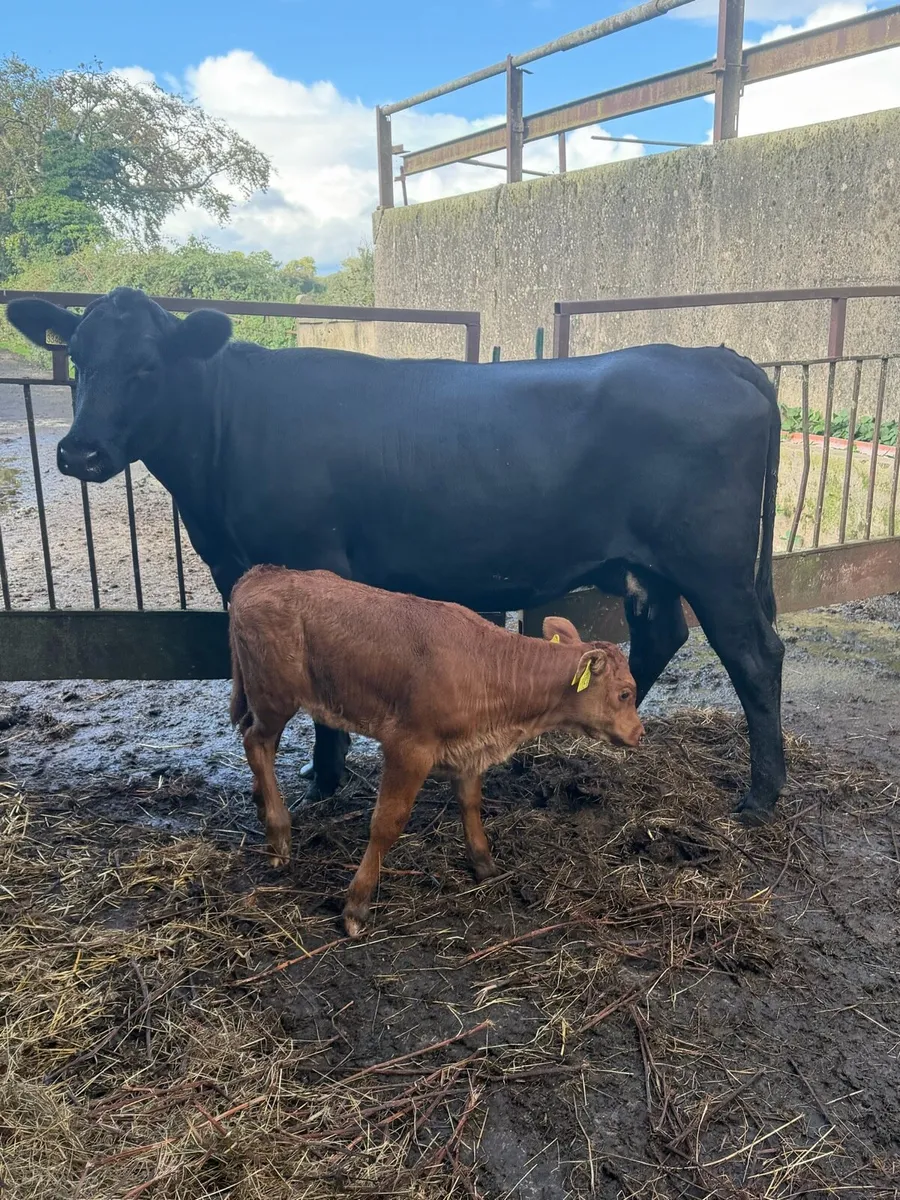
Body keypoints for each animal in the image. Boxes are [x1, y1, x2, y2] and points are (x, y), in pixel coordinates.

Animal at [6, 287, 785, 823]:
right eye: (77, 360)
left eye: (146, 366)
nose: (80, 451)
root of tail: (712, 357)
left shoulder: (313, 560)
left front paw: (323, 780)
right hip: (652, 565)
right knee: (661, 633)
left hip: (713, 564)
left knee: (754, 655)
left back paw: (762, 795)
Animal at [229, 566, 644, 936]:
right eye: (625, 693)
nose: (639, 733)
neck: (490, 667)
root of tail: (261, 573)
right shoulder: (408, 747)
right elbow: (387, 822)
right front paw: (356, 905)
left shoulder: (469, 748)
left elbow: (471, 804)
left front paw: (484, 864)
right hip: (275, 696)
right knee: (256, 742)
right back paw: (279, 834)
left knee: (259, 744)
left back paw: (263, 805)